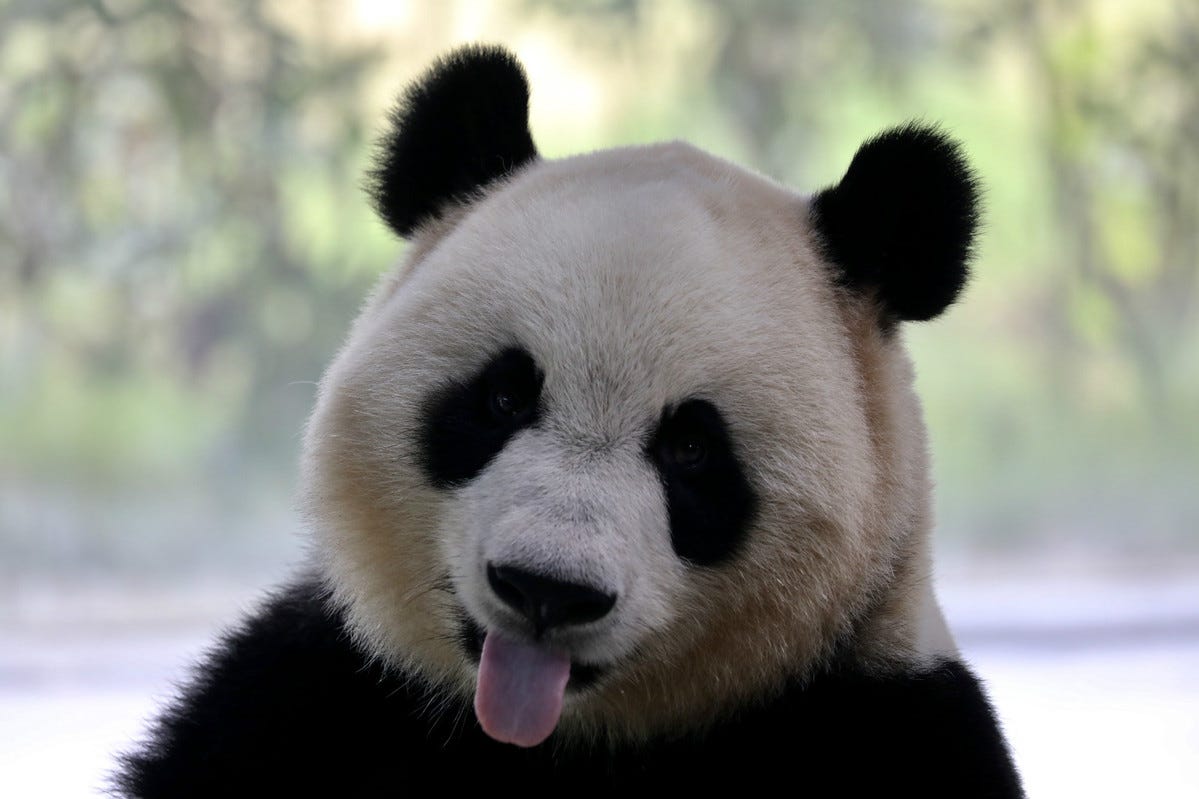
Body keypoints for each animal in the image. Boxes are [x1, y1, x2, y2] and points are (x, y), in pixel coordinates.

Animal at [116, 45, 1023, 797]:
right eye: (503, 398)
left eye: (691, 449)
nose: (547, 588)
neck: (554, 738)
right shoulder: (314, 692)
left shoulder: (886, 718)